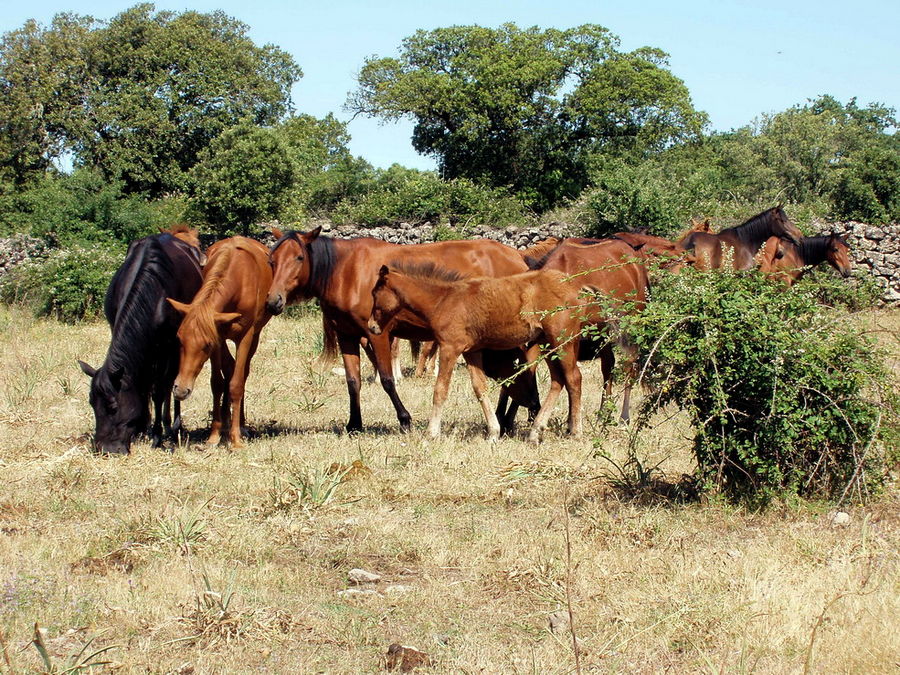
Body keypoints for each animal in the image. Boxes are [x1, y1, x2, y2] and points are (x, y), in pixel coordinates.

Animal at [78, 226, 203, 454]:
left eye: (113, 407)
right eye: (91, 403)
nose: (105, 449)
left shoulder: (170, 346)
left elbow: (160, 390)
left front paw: (158, 435)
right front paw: (142, 426)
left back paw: (173, 426)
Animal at [165, 238, 270, 448]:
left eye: (205, 345)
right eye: (179, 339)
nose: (180, 390)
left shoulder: (243, 337)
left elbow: (237, 384)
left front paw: (236, 439)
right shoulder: (218, 337)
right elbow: (217, 383)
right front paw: (214, 436)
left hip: (255, 335)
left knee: (242, 372)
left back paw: (241, 425)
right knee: (229, 368)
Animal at [264, 230, 536, 436]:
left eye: (299, 257)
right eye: (272, 261)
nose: (273, 300)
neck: (347, 272)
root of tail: (519, 256)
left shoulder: (378, 334)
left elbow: (387, 379)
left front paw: (405, 419)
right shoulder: (347, 336)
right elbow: (353, 382)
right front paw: (354, 424)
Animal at [368, 264, 592, 444]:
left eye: (374, 294)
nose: (371, 326)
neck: (443, 300)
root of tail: (575, 287)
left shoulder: (450, 348)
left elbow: (440, 390)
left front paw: (431, 433)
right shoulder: (472, 352)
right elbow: (480, 388)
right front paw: (493, 432)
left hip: (562, 341)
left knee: (573, 379)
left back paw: (575, 432)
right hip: (548, 343)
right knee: (558, 380)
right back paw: (535, 433)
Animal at [524, 239, 652, 422]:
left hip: (631, 324)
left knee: (629, 363)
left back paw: (624, 416)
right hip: (603, 331)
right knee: (608, 365)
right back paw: (604, 413)